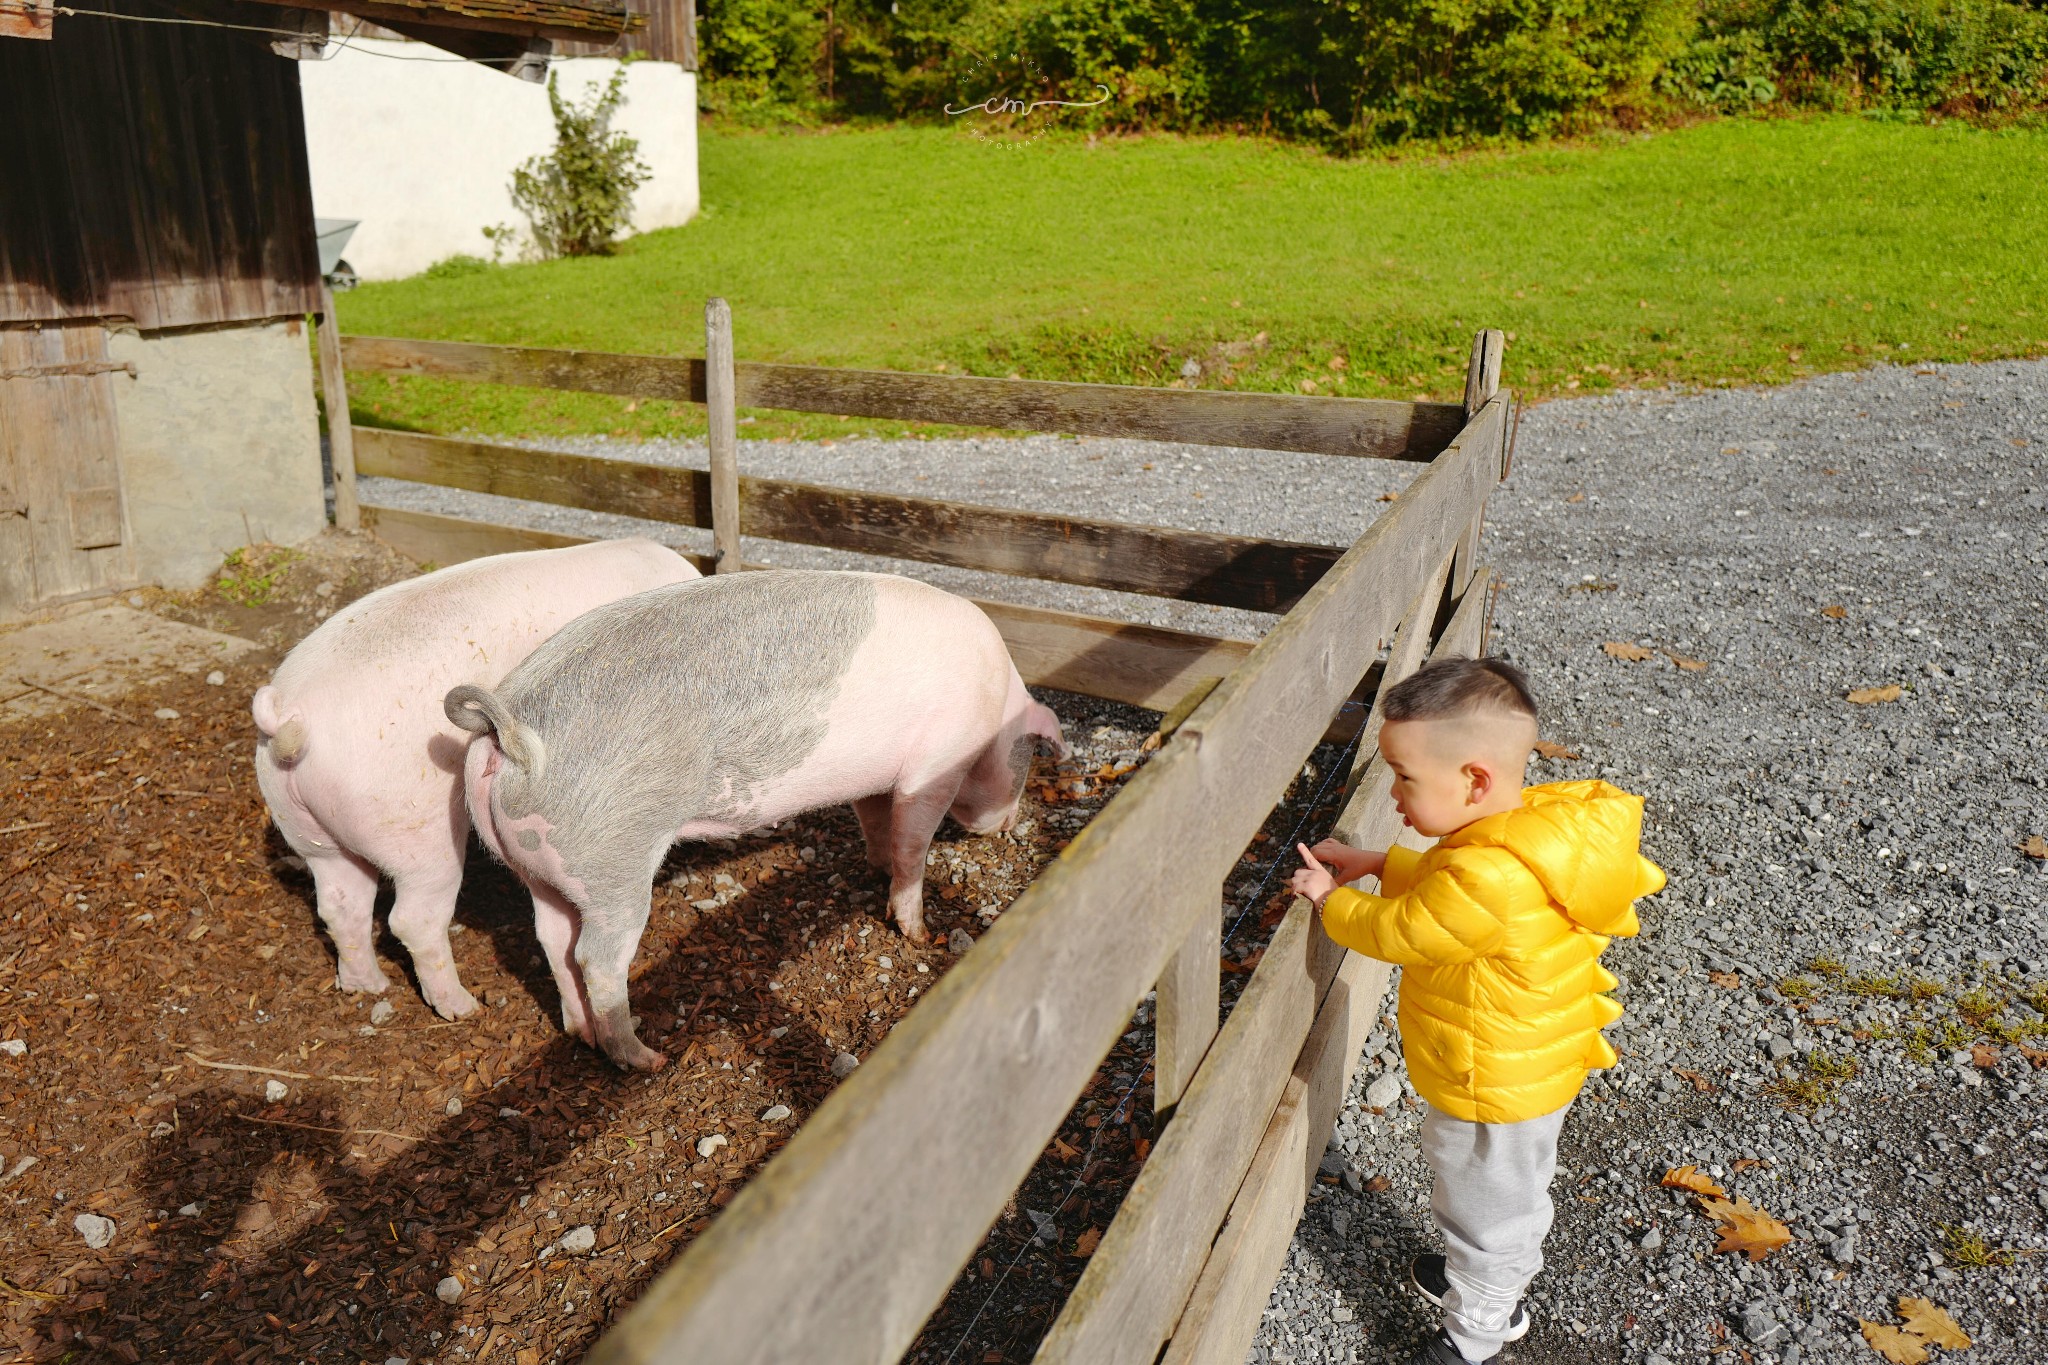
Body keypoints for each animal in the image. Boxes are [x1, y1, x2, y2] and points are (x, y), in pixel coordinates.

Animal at [245, 540, 696, 1019]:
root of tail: (291, 716)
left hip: (305, 828)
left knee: (339, 903)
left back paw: (368, 987)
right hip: (416, 833)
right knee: (411, 919)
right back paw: (462, 1008)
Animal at [450, 573, 1073, 1072]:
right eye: (1029, 756)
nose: (1006, 825)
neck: (996, 706)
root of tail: (513, 734)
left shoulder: (875, 781)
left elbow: (879, 825)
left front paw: (875, 868)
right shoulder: (934, 765)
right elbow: (914, 844)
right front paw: (918, 932)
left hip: (538, 868)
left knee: (553, 941)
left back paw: (582, 1035)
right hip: (612, 864)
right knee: (596, 960)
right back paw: (646, 1060)